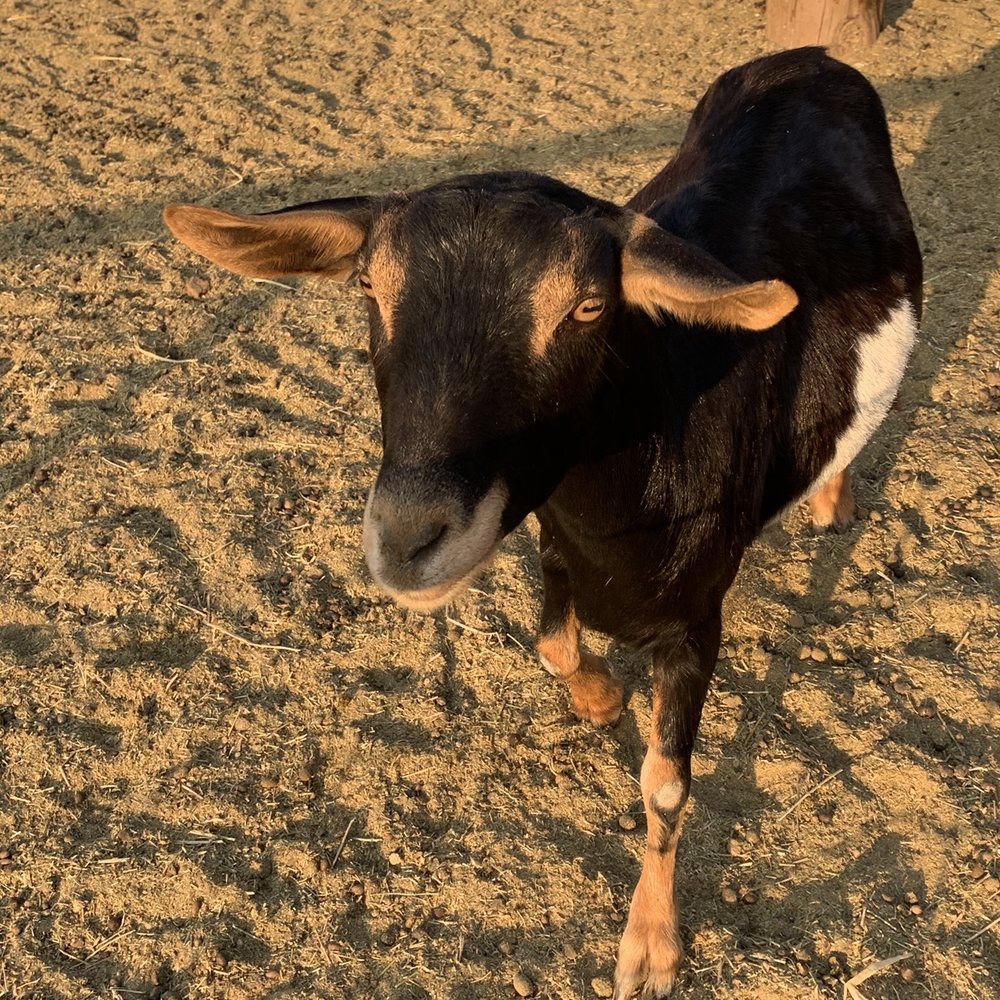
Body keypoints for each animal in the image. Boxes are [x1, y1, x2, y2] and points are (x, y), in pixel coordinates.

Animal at [164, 47, 921, 998]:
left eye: (589, 307)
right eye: (369, 286)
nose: (409, 541)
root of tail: (810, 56)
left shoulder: (696, 614)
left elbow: (665, 786)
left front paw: (650, 948)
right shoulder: (557, 544)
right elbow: (552, 643)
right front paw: (602, 700)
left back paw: (831, 502)